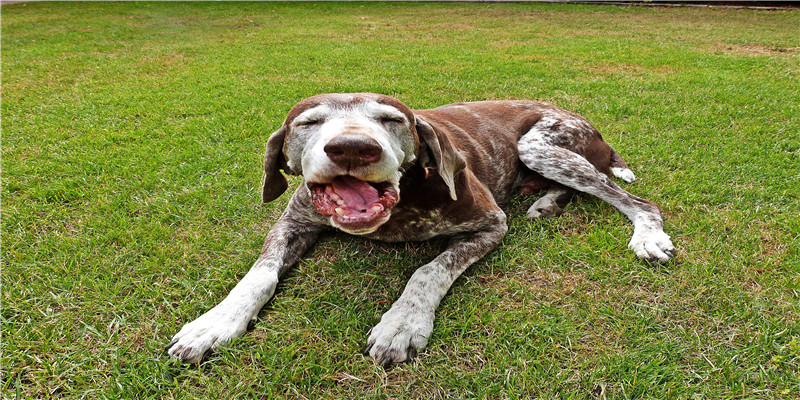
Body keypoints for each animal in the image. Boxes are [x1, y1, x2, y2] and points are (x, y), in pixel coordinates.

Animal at [167, 94, 676, 366]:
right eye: (309, 122)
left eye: (392, 120)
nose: (353, 147)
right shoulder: (293, 222)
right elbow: (260, 275)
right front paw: (215, 323)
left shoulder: (491, 224)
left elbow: (429, 270)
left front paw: (402, 323)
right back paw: (547, 202)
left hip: (540, 145)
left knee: (636, 201)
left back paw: (646, 234)